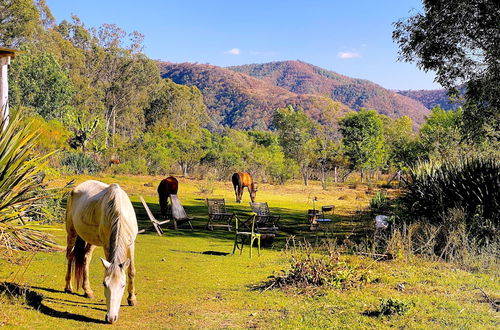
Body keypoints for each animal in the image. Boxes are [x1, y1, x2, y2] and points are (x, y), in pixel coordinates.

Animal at [65, 179, 139, 324]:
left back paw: (87, 291)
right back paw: (68, 287)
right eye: (104, 284)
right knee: (70, 256)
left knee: (85, 258)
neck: (119, 214)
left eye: (123, 285)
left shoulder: (131, 244)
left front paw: (132, 299)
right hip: (72, 233)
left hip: (90, 240)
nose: (111, 318)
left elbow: (131, 270)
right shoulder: (106, 245)